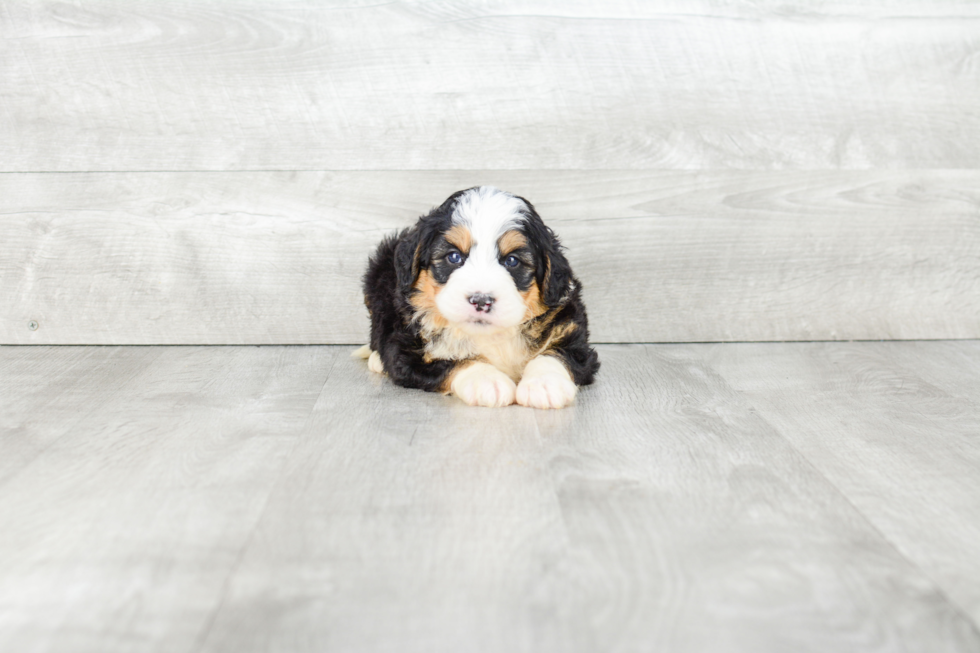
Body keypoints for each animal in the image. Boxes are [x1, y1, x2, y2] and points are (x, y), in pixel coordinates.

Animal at [352, 185, 596, 408]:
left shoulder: (571, 330)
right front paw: (488, 382)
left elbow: (556, 353)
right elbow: (455, 360)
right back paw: (376, 360)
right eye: (453, 257)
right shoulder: (410, 352)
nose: (481, 300)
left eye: (512, 261)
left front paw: (545, 384)